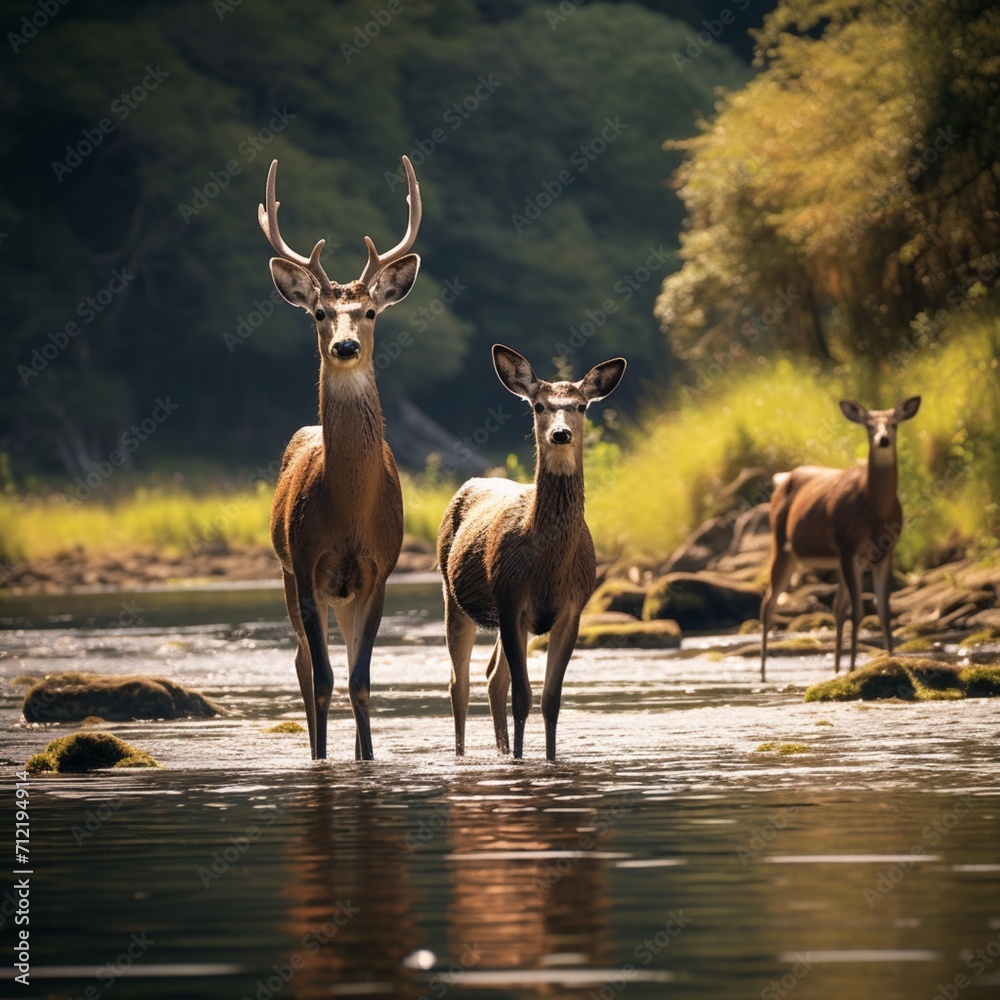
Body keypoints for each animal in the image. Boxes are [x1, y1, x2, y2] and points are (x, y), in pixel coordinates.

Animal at [260, 156, 421, 760]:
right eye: (319, 313)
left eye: (370, 311)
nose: (345, 346)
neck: (349, 509)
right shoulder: (307, 564)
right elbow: (328, 679)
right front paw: (322, 760)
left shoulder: (379, 570)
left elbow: (361, 681)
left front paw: (367, 760)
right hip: (288, 573)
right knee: (303, 663)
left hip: (344, 593)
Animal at [437, 345, 626, 761]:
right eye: (539, 405)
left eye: (581, 406)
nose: (561, 433)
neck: (548, 568)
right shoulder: (511, 598)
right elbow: (523, 697)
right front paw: (523, 760)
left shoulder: (572, 608)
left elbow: (550, 699)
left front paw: (549, 758)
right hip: (453, 594)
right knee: (460, 682)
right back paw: (463, 754)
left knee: (493, 677)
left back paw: (502, 750)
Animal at [759, 396, 921, 681]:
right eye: (869, 425)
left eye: (894, 423)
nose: (883, 439)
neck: (874, 511)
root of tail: (782, 479)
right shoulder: (847, 547)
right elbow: (858, 612)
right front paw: (855, 667)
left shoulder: (885, 552)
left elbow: (883, 611)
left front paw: (891, 659)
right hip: (782, 546)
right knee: (768, 602)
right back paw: (763, 670)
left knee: (835, 606)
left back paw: (835, 667)